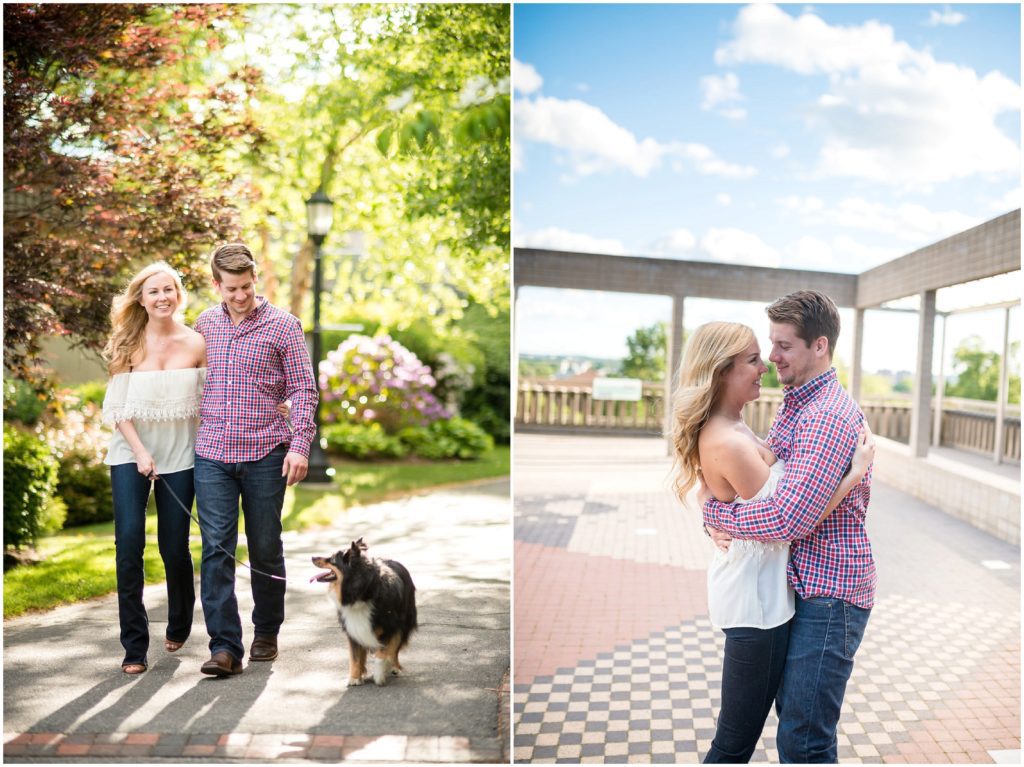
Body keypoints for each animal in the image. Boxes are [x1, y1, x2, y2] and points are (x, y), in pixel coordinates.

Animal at [311, 536, 415, 684]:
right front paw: (355, 678)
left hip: (405, 620)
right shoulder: (353, 628)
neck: (363, 590)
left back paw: (394, 667)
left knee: (395, 648)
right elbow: (355, 656)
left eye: (331, 559)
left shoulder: (389, 627)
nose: (312, 557)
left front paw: (379, 674)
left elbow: (383, 653)